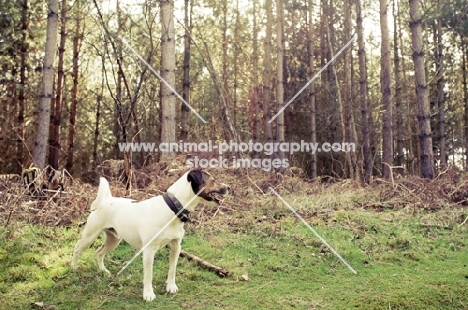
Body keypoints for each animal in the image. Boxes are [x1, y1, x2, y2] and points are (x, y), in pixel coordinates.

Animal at [71, 170, 229, 300]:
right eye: (213, 180)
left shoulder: (176, 246)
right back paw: (73, 268)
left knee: (99, 252)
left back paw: (104, 271)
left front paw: (170, 287)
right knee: (77, 249)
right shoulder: (148, 251)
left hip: (114, 239)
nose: (229, 188)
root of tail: (106, 200)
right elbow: (148, 275)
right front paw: (148, 294)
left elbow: (172, 269)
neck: (173, 208)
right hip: (90, 235)